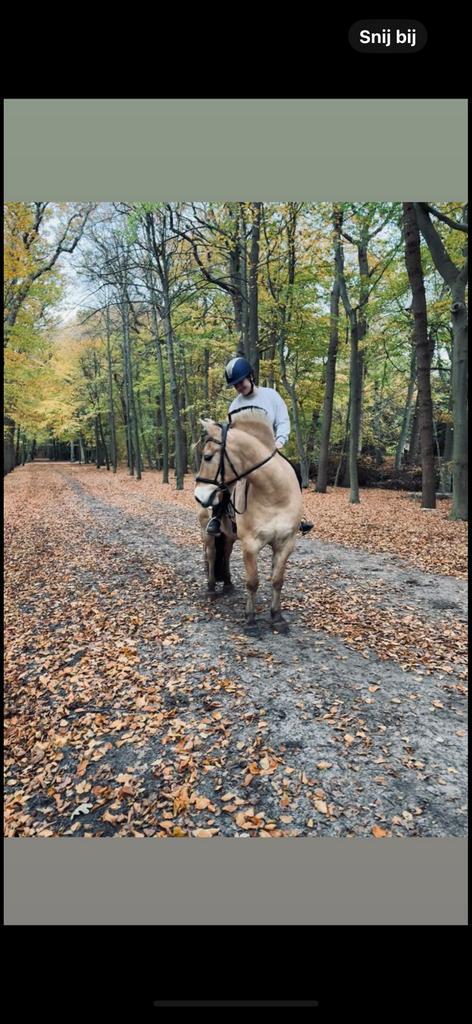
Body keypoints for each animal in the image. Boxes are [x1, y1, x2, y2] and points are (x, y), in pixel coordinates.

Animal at [194, 408, 303, 635]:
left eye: (207, 457)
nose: (199, 496)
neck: (274, 495)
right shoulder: (250, 545)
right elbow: (253, 582)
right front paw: (251, 620)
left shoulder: (285, 543)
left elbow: (277, 580)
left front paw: (277, 617)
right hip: (206, 531)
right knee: (211, 555)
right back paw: (211, 589)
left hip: (228, 534)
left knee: (225, 553)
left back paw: (227, 584)